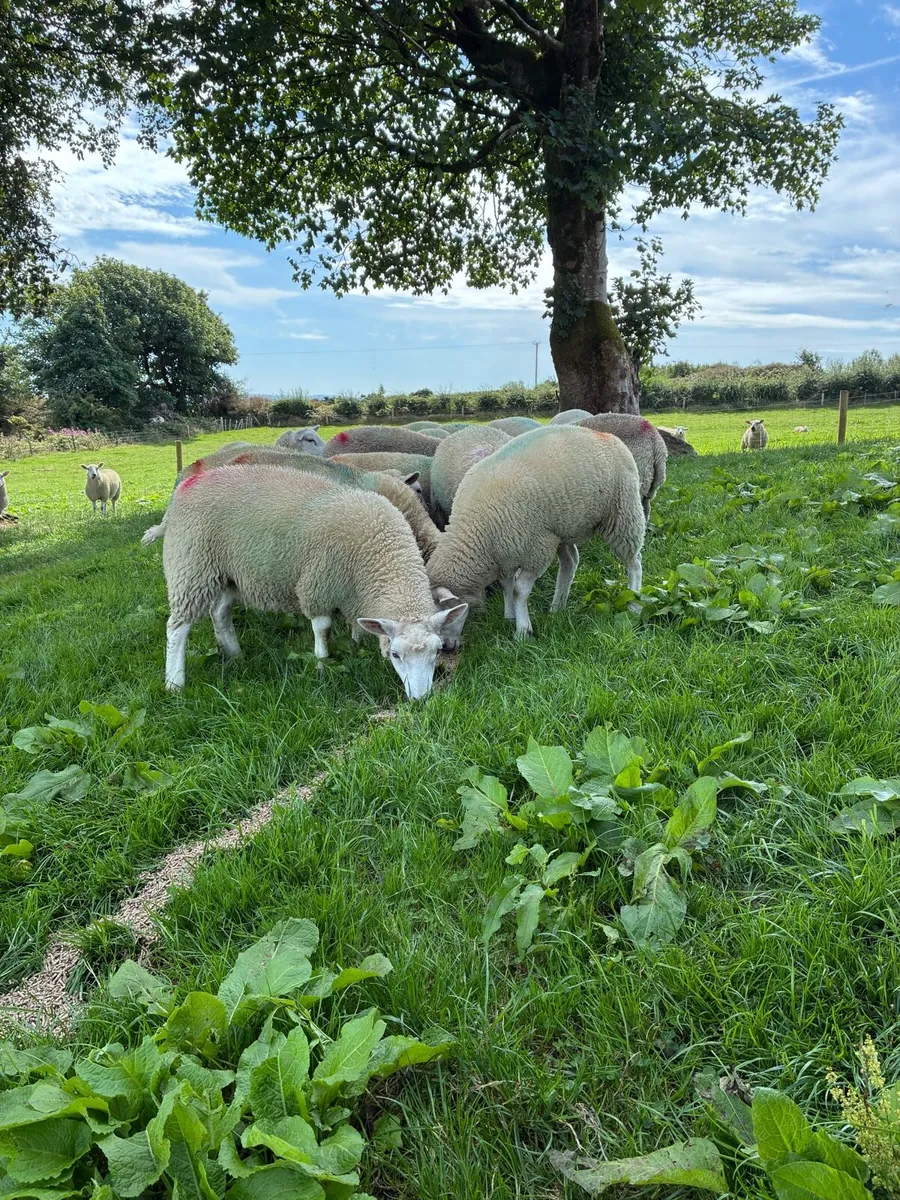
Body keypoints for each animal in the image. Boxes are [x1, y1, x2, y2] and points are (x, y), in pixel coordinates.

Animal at [161, 465, 468, 698]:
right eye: (395, 655)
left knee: (220, 613)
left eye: (437, 651)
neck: (380, 550)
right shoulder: (318, 586)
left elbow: (356, 625)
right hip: (191, 565)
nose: (421, 698)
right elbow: (323, 629)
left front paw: (356, 645)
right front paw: (321, 666)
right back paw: (174, 683)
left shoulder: (354, 593)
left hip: (226, 573)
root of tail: (187, 485)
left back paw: (234, 654)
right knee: (177, 628)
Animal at [426, 425, 645, 639]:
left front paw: (523, 631)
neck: (474, 533)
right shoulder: (505, 553)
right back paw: (557, 607)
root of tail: (606, 435)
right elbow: (507, 585)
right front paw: (509, 616)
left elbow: (518, 590)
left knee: (634, 562)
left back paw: (634, 604)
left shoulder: (536, 548)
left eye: (446, 616)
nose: (447, 647)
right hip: (560, 528)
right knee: (570, 562)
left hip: (623, 512)